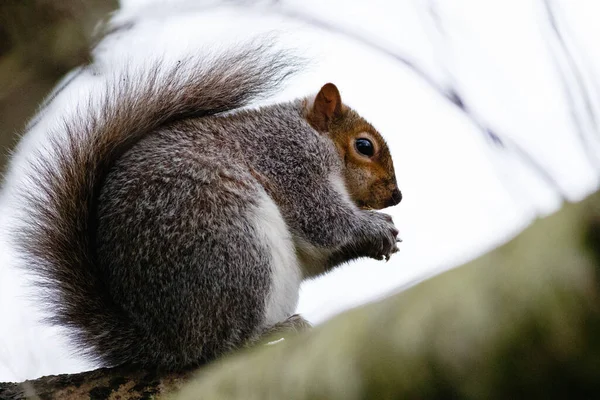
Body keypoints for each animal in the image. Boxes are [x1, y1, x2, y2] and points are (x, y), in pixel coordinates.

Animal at [14, 44, 400, 372]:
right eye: (364, 146)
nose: (396, 196)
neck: (309, 131)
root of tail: (165, 343)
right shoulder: (290, 159)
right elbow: (322, 220)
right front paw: (375, 226)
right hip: (235, 249)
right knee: (220, 347)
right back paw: (268, 334)